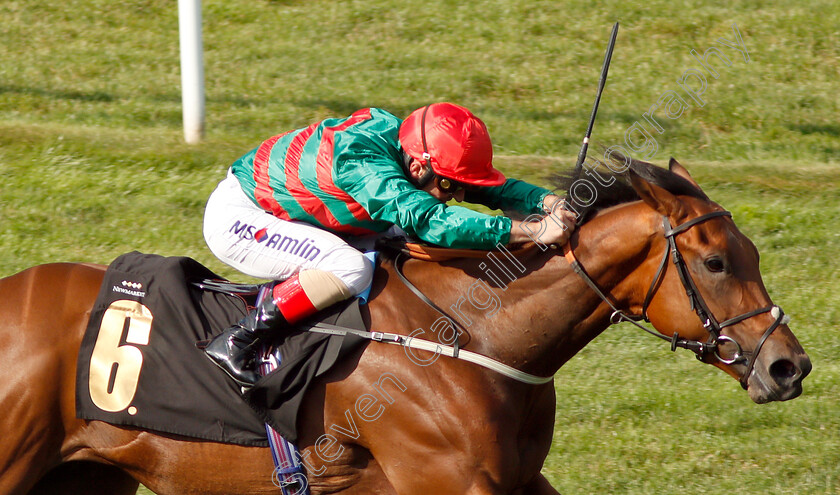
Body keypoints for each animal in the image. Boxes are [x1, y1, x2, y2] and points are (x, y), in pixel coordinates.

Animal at [1, 160, 812, 495]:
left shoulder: (517, 480)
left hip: (85, 477)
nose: (789, 366)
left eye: (752, 252)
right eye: (713, 261)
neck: (472, 335)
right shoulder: (447, 481)